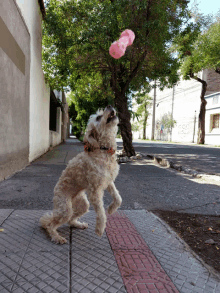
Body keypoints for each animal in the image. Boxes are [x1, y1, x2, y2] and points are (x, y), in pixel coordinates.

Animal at [40, 104, 122, 243]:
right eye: (98, 117)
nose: (109, 105)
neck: (103, 150)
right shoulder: (95, 191)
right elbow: (101, 212)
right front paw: (100, 228)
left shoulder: (108, 180)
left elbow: (118, 197)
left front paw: (111, 209)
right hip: (65, 208)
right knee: (51, 225)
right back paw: (57, 237)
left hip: (83, 204)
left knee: (70, 220)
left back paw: (78, 224)